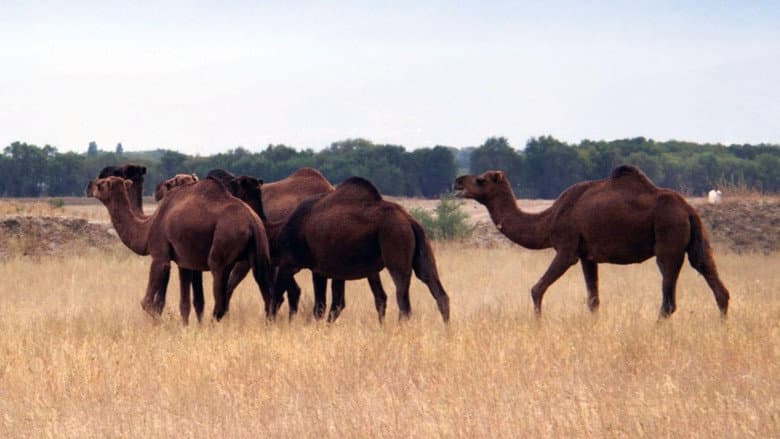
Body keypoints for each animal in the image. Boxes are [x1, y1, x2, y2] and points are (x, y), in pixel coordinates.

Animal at [86, 175, 273, 321]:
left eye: (102, 183)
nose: (88, 186)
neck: (148, 226)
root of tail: (252, 221)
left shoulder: (160, 255)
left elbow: (148, 302)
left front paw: (160, 324)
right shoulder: (184, 261)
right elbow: (184, 304)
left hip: (223, 245)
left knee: (220, 293)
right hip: (260, 253)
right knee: (266, 293)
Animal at [270, 176, 450, 323]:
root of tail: (409, 220)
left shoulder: (292, 262)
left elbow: (279, 295)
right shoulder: (330, 269)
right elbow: (333, 304)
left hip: (396, 241)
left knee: (403, 300)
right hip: (421, 249)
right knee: (436, 289)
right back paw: (447, 333)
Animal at [453, 165, 730, 318]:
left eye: (480, 180)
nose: (457, 180)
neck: (549, 218)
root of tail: (688, 209)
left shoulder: (567, 248)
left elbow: (537, 288)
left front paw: (538, 325)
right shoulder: (588, 255)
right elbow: (593, 300)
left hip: (668, 238)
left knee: (668, 299)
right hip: (695, 240)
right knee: (714, 281)